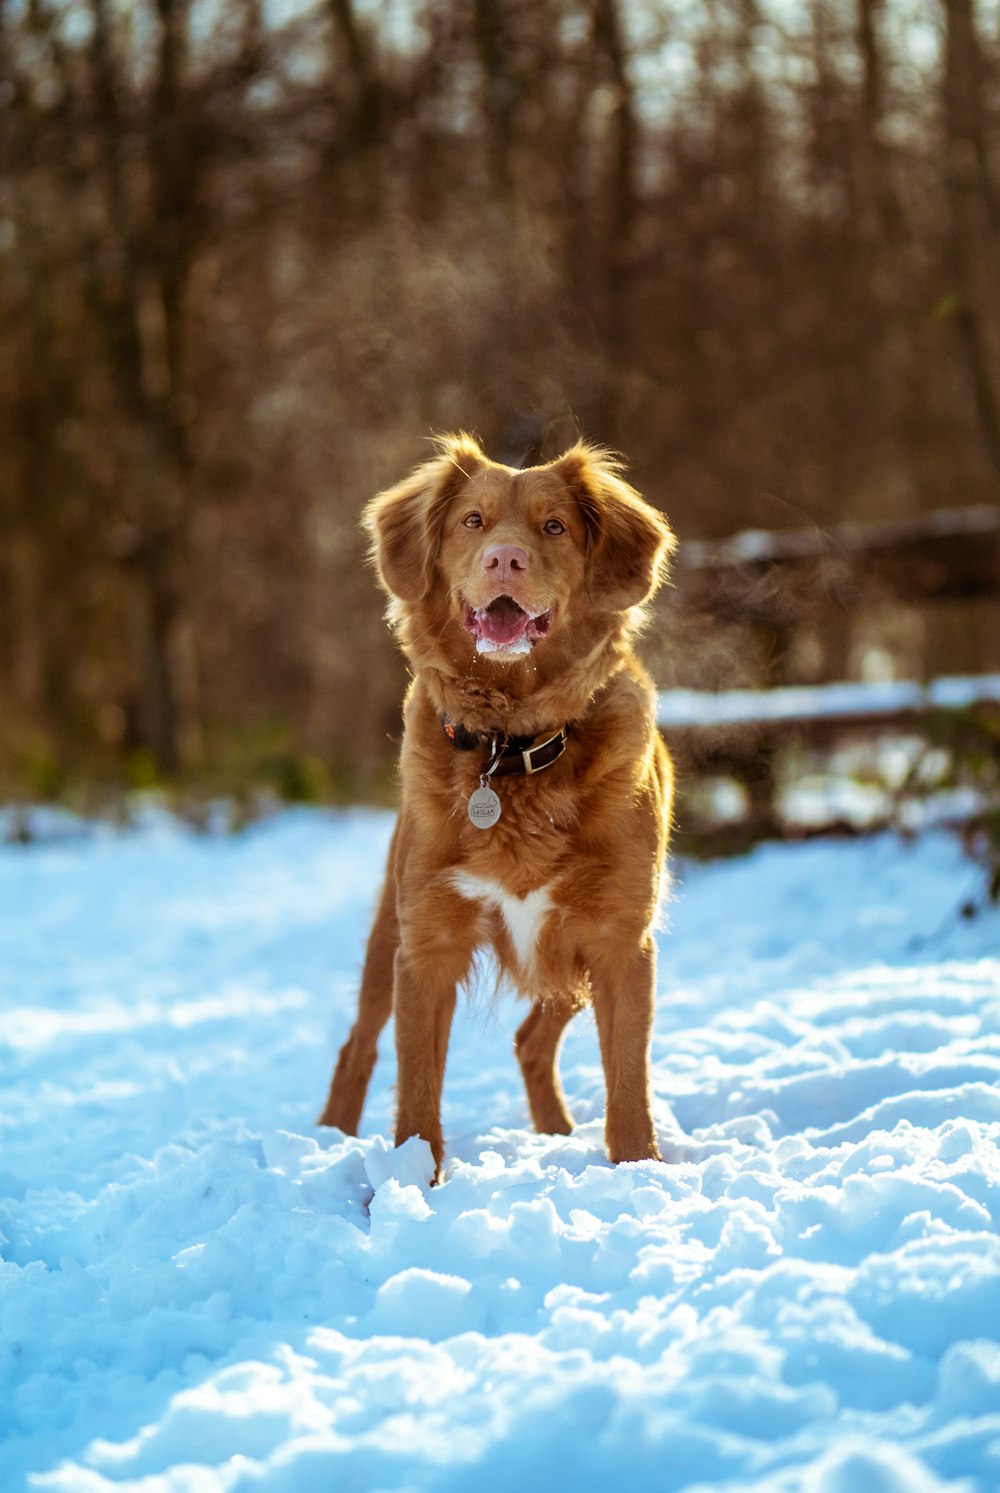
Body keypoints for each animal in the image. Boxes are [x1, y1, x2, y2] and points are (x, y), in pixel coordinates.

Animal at [319, 432, 680, 1176]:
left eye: (554, 527)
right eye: (472, 521)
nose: (504, 559)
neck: (511, 746)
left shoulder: (619, 939)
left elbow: (628, 1080)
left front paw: (639, 1170)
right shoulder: (426, 946)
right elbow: (416, 1090)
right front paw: (410, 1181)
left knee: (530, 1040)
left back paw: (556, 1134)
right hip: (386, 935)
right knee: (358, 1044)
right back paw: (330, 1134)